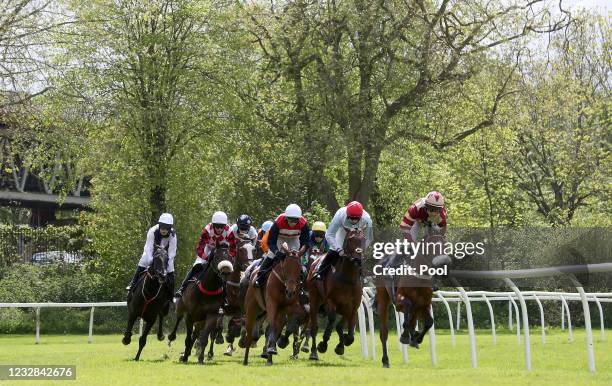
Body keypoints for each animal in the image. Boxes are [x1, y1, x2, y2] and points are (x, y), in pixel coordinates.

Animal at [306, 228, 364, 360]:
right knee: (314, 327)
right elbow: (332, 320)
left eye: (364, 239)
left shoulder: (352, 307)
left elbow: (343, 328)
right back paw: (313, 353)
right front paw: (323, 344)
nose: (357, 259)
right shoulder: (330, 302)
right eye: (350, 239)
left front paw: (341, 345)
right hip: (314, 300)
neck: (347, 279)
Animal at [372, 232, 450, 368]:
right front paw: (405, 336)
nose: (444, 264)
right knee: (384, 332)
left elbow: (429, 322)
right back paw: (385, 360)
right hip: (383, 299)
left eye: (446, 245)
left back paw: (413, 336)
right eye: (432, 246)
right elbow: (407, 310)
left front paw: (417, 338)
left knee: (413, 319)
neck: (419, 278)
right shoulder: (399, 301)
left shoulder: (424, 304)